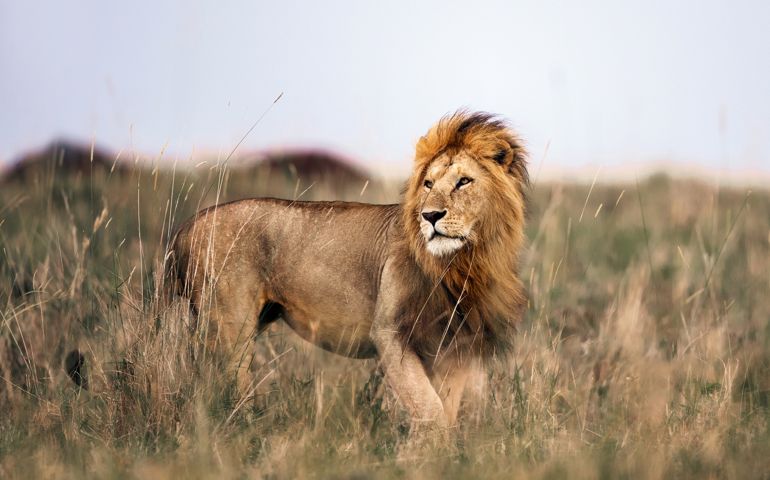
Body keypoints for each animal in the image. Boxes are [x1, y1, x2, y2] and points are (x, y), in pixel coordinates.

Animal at [169, 111, 528, 430]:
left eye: (464, 182)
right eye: (428, 184)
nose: (430, 216)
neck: (464, 263)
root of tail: (187, 226)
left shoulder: (456, 347)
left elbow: (446, 410)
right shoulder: (389, 333)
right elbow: (429, 408)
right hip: (230, 329)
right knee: (221, 388)